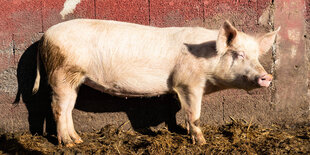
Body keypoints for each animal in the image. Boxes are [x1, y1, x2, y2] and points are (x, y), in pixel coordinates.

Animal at [31, 19, 278, 147]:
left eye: (257, 56)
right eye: (239, 54)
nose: (268, 77)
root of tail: (44, 37)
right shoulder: (187, 83)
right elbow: (194, 114)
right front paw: (202, 143)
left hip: (74, 79)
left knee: (68, 108)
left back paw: (79, 140)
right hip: (62, 73)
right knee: (58, 108)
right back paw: (69, 144)